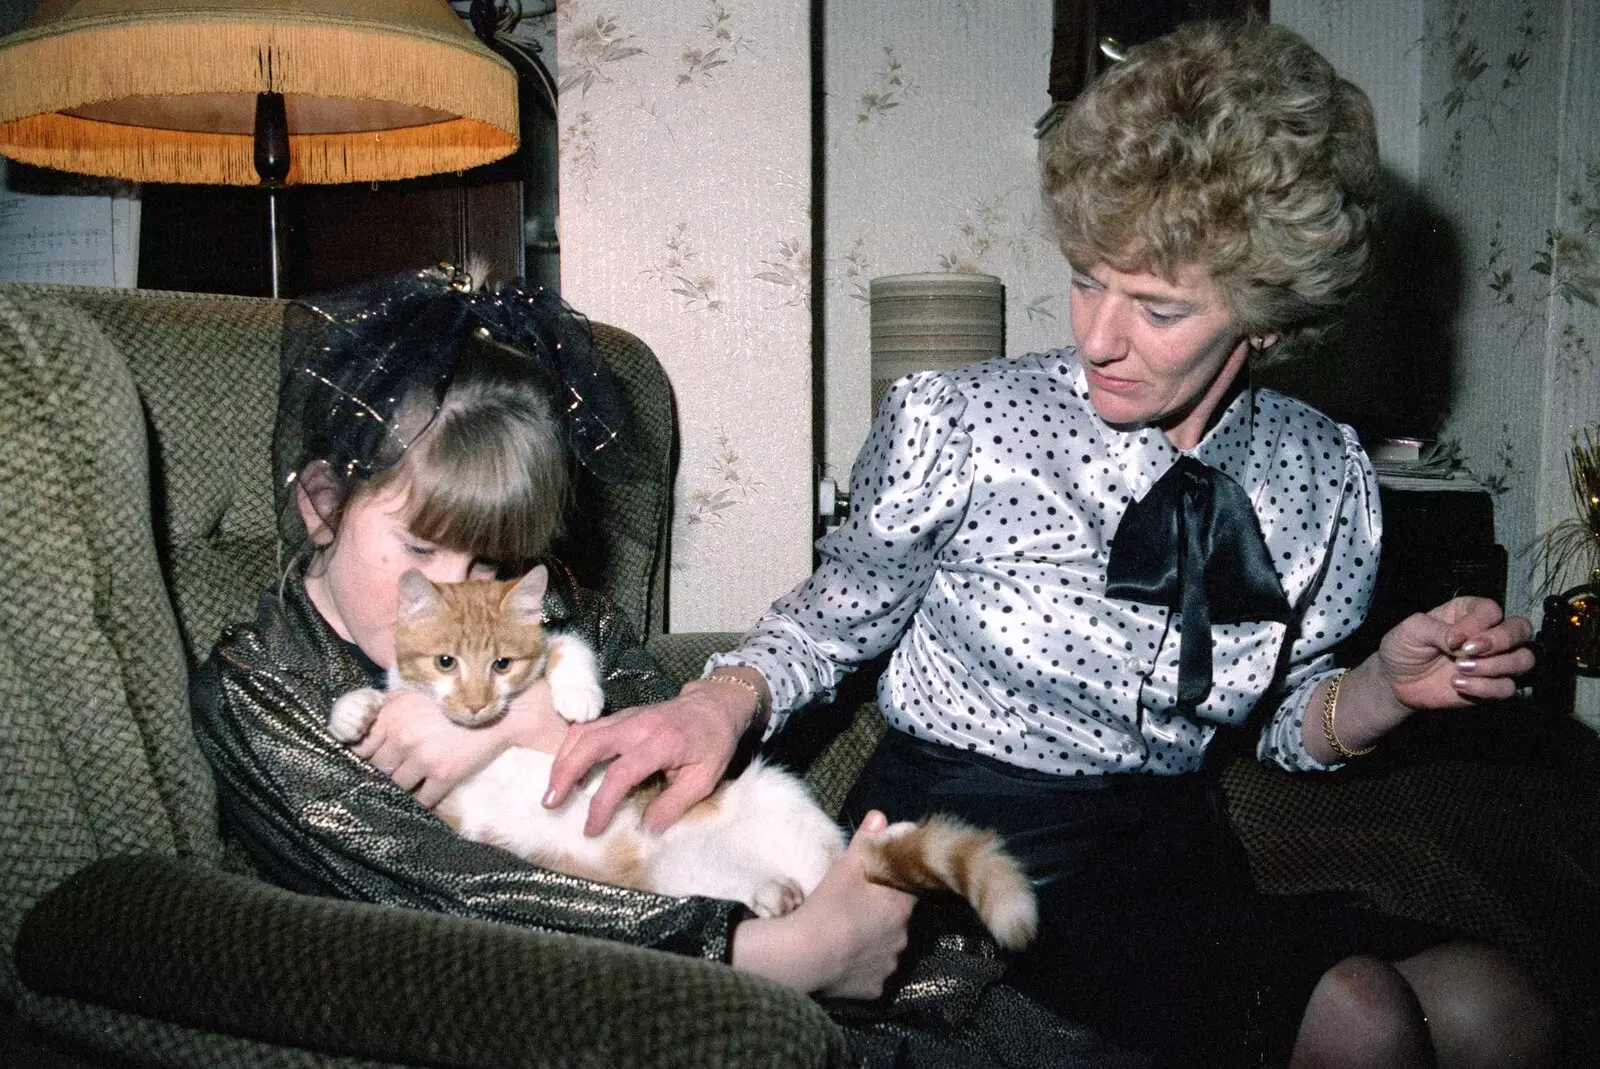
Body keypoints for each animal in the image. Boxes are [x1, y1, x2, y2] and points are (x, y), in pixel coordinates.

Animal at [331, 566, 1043, 953]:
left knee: (840, 856)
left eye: (503, 663)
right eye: (445, 662)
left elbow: (568, 649)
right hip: (682, 880)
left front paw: (578, 699)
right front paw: (352, 711)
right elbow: (384, 701)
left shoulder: (559, 652)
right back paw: (773, 893)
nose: (478, 704)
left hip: (772, 793)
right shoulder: (447, 801)